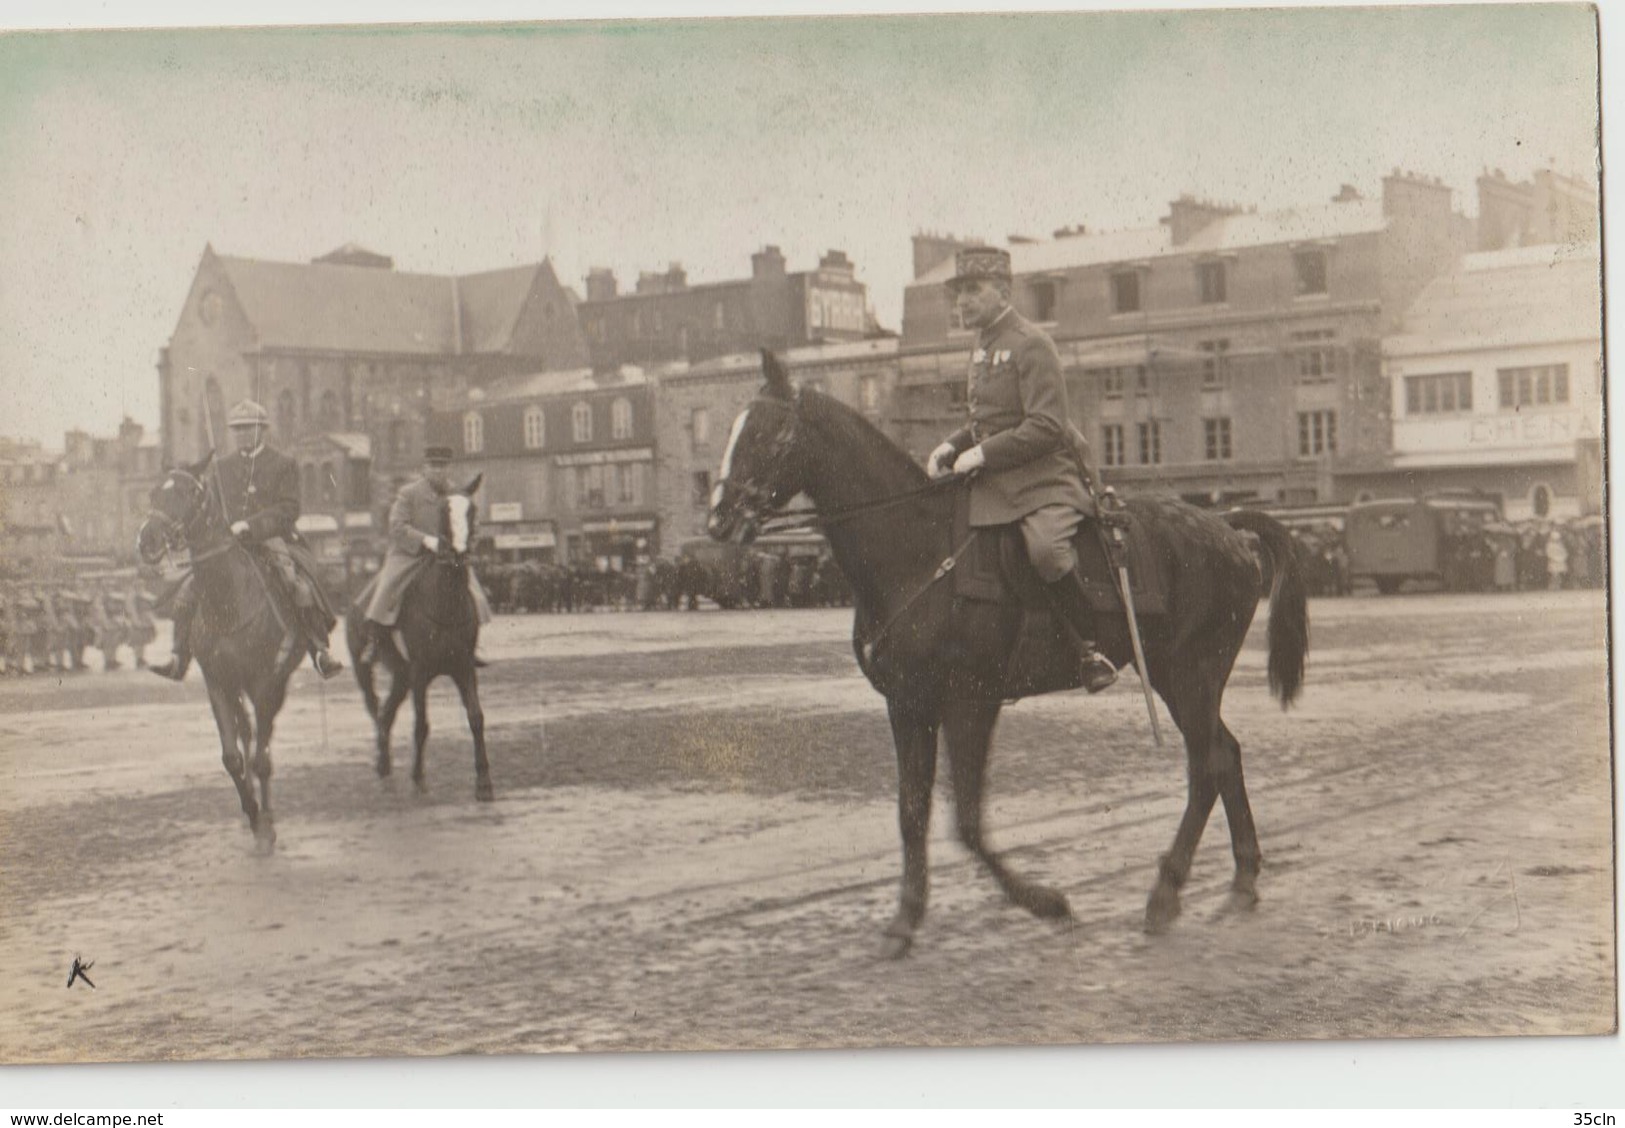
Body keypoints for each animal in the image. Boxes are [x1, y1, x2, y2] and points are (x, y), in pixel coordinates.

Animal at [138, 455, 305, 851]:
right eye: (153, 492)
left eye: (188, 492)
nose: (146, 538)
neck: (229, 599)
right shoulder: (217, 683)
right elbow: (232, 757)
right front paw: (252, 814)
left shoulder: (265, 683)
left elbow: (261, 758)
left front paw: (266, 825)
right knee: (247, 736)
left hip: (274, 685)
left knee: (262, 744)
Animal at [346, 477, 490, 802]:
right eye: (443, 510)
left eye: (472, 510)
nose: (458, 554)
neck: (445, 601)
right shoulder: (421, 672)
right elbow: (421, 724)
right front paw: (418, 779)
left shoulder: (463, 668)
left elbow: (476, 717)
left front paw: (483, 782)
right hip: (367, 671)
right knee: (377, 711)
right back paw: (384, 767)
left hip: (402, 676)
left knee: (386, 715)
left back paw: (386, 771)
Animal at [711, 349, 1306, 955]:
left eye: (767, 432)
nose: (718, 518)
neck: (916, 549)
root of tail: (1226, 526)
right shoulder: (907, 704)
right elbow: (911, 811)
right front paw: (905, 918)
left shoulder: (971, 702)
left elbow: (968, 822)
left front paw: (1046, 901)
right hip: (1179, 678)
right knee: (1225, 755)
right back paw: (1241, 881)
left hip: (1190, 674)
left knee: (1208, 765)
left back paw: (1166, 892)